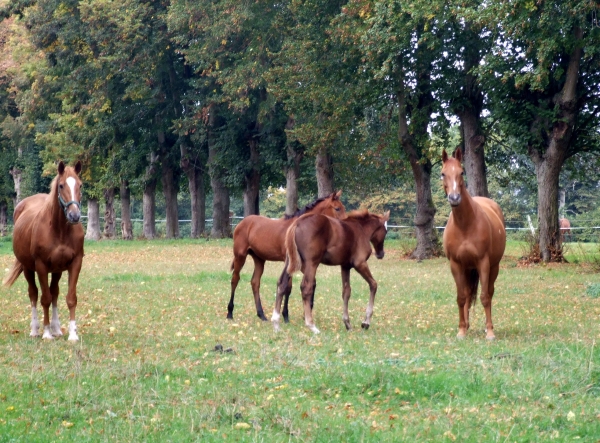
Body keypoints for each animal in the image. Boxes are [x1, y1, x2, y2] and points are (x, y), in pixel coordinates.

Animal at [2, 161, 84, 342]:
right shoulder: (41, 266)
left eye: (80, 185)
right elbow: (44, 299)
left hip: (57, 270)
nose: (74, 215)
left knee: (55, 293)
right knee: (33, 294)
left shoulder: (75, 263)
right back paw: (35, 329)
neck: (59, 230)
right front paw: (46, 333)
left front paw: (72, 334)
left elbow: (70, 298)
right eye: (61, 185)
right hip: (28, 268)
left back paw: (57, 329)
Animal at [227, 189, 344, 320]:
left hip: (259, 259)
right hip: (240, 256)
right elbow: (289, 287)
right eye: (337, 208)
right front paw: (286, 315)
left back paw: (261, 314)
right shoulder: (291, 261)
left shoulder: (302, 262)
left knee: (255, 282)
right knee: (235, 279)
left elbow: (311, 282)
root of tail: (242, 223)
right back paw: (230, 312)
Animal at [440, 149, 506, 340]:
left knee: (489, 292)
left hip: (493, 267)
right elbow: (461, 297)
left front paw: (490, 332)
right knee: (468, 294)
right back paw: (467, 325)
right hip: (468, 269)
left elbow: (484, 297)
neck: (465, 225)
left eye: (461, 172)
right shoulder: (456, 264)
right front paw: (461, 330)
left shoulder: (483, 263)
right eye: (443, 174)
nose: (454, 198)